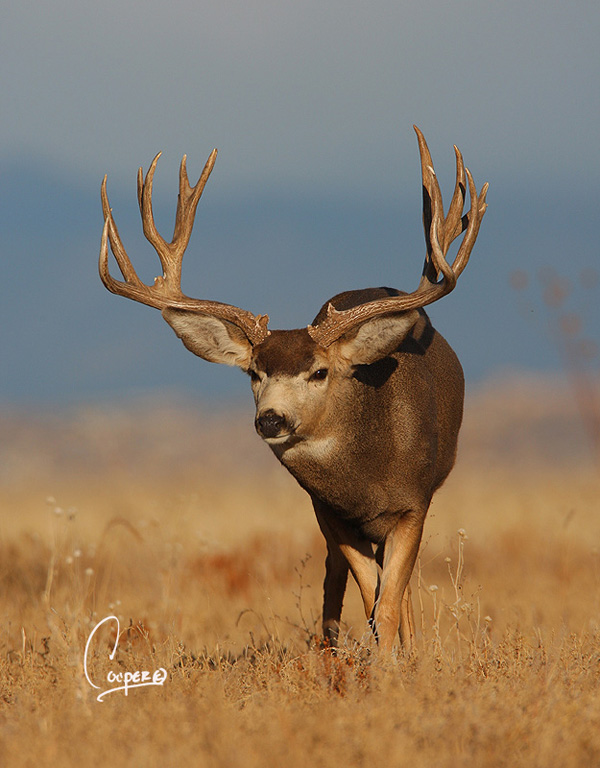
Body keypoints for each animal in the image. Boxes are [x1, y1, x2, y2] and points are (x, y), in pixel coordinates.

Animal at [99, 127, 488, 656]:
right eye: (253, 373)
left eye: (319, 372)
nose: (271, 419)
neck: (365, 478)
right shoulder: (329, 511)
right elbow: (370, 594)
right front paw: (374, 655)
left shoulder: (414, 501)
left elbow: (388, 600)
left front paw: (394, 661)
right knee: (338, 577)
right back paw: (330, 644)